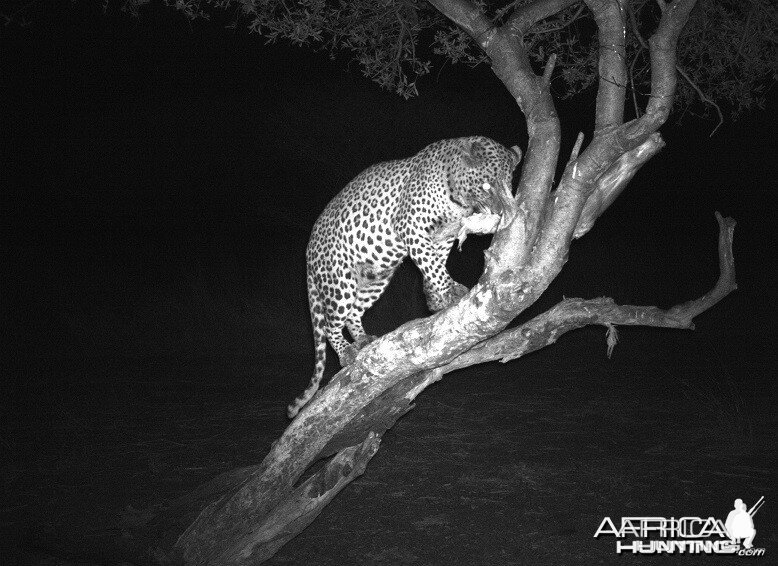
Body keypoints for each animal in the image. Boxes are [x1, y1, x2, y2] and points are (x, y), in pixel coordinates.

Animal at [290, 136, 520, 422]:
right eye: (487, 185)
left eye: (508, 186)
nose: (501, 212)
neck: (457, 199)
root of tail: (309, 250)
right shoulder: (412, 227)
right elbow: (431, 264)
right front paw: (448, 291)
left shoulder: (442, 236)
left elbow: (436, 263)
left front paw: (435, 298)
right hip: (339, 280)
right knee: (333, 322)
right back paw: (346, 351)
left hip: (374, 277)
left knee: (354, 312)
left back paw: (363, 339)